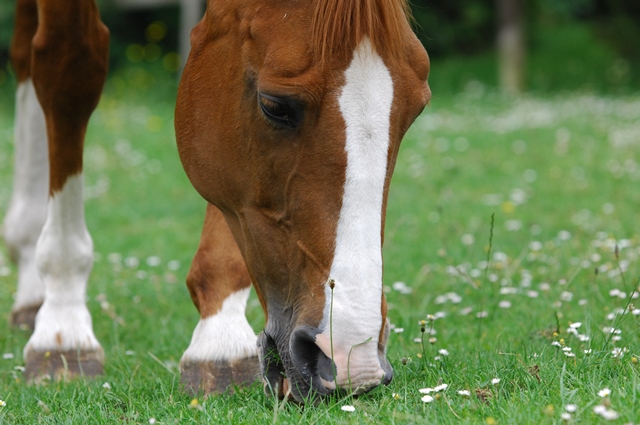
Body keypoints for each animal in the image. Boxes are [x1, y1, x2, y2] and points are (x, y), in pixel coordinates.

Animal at [3, 0, 430, 400]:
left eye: (417, 109)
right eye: (275, 105)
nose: (349, 358)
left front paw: (217, 336)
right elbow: (69, 67)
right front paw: (63, 330)